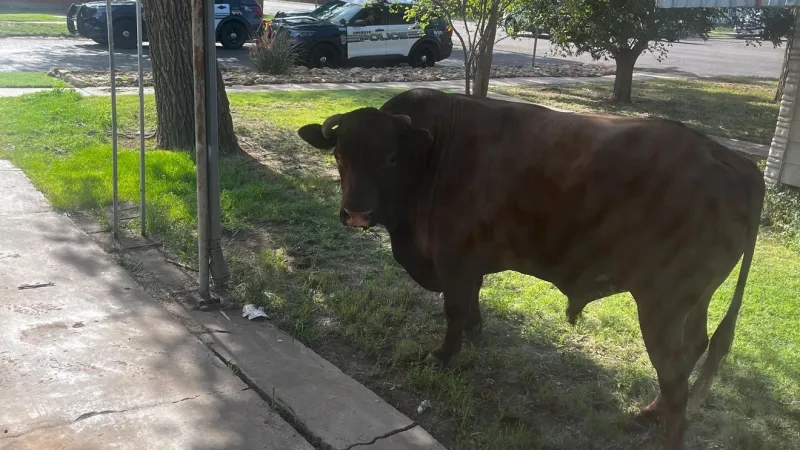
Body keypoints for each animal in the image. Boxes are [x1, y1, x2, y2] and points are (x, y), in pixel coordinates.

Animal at [297, 88, 764, 450]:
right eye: (340, 154)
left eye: (391, 158)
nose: (357, 212)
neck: (433, 155)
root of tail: (731, 159)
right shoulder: (469, 260)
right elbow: (471, 299)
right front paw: (474, 331)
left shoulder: (454, 256)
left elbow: (454, 307)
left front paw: (444, 354)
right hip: (692, 301)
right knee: (694, 350)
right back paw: (648, 413)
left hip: (662, 305)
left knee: (677, 378)